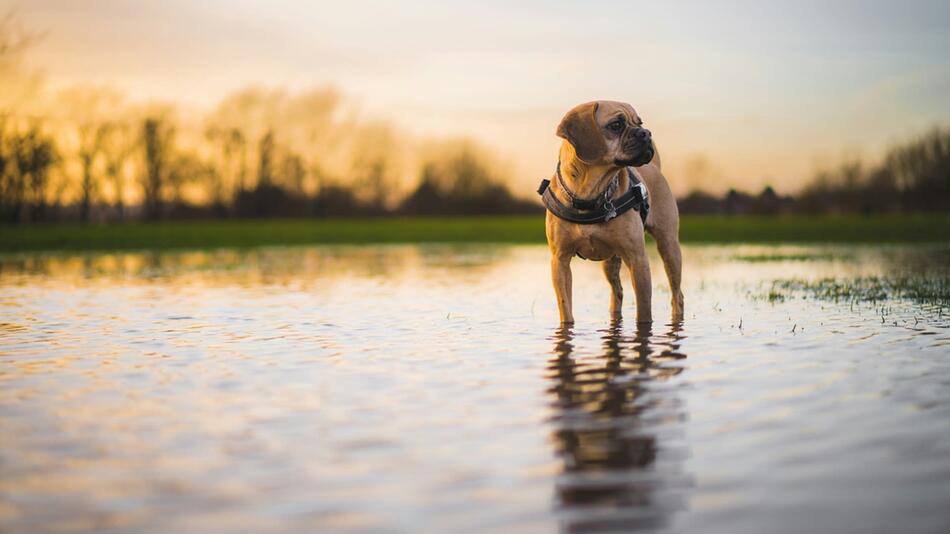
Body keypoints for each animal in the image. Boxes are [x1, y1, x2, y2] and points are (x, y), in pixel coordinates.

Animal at [544, 101, 684, 326]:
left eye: (639, 123)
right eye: (616, 125)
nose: (646, 133)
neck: (590, 193)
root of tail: (654, 168)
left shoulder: (637, 259)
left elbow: (644, 311)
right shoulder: (560, 260)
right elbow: (566, 308)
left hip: (669, 247)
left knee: (677, 295)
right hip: (610, 261)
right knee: (617, 291)